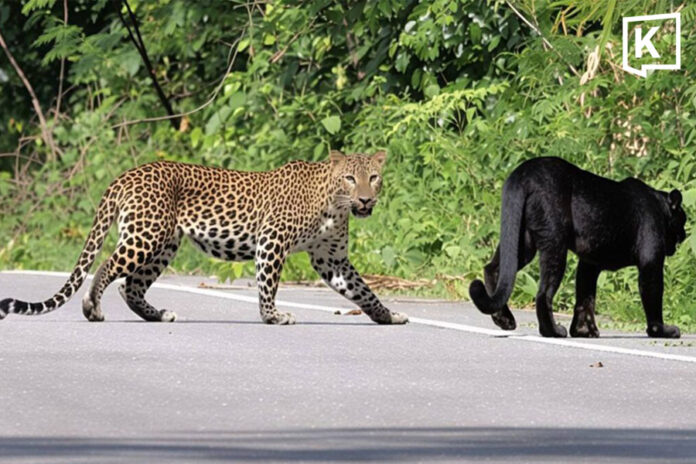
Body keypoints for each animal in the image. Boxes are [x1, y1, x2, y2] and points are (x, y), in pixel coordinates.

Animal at [0, 151, 409, 326]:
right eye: (350, 178)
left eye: (373, 177)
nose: (365, 200)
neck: (334, 205)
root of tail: (127, 174)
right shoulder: (272, 240)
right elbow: (268, 284)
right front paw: (273, 317)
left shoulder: (331, 259)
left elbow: (363, 290)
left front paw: (388, 316)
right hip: (145, 236)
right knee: (106, 268)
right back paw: (92, 310)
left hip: (164, 244)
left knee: (131, 286)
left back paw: (158, 315)